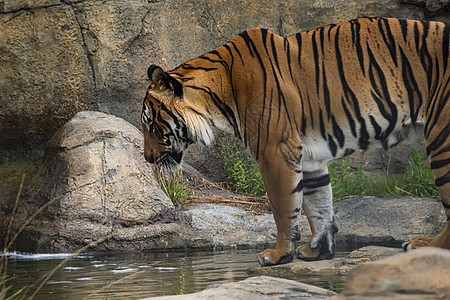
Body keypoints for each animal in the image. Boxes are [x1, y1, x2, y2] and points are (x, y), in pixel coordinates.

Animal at [142, 17, 450, 264]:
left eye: (151, 124)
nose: (146, 158)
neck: (219, 92)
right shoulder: (311, 157)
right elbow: (319, 205)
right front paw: (319, 250)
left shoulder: (274, 149)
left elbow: (283, 206)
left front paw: (278, 255)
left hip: (441, 139)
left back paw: (425, 246)